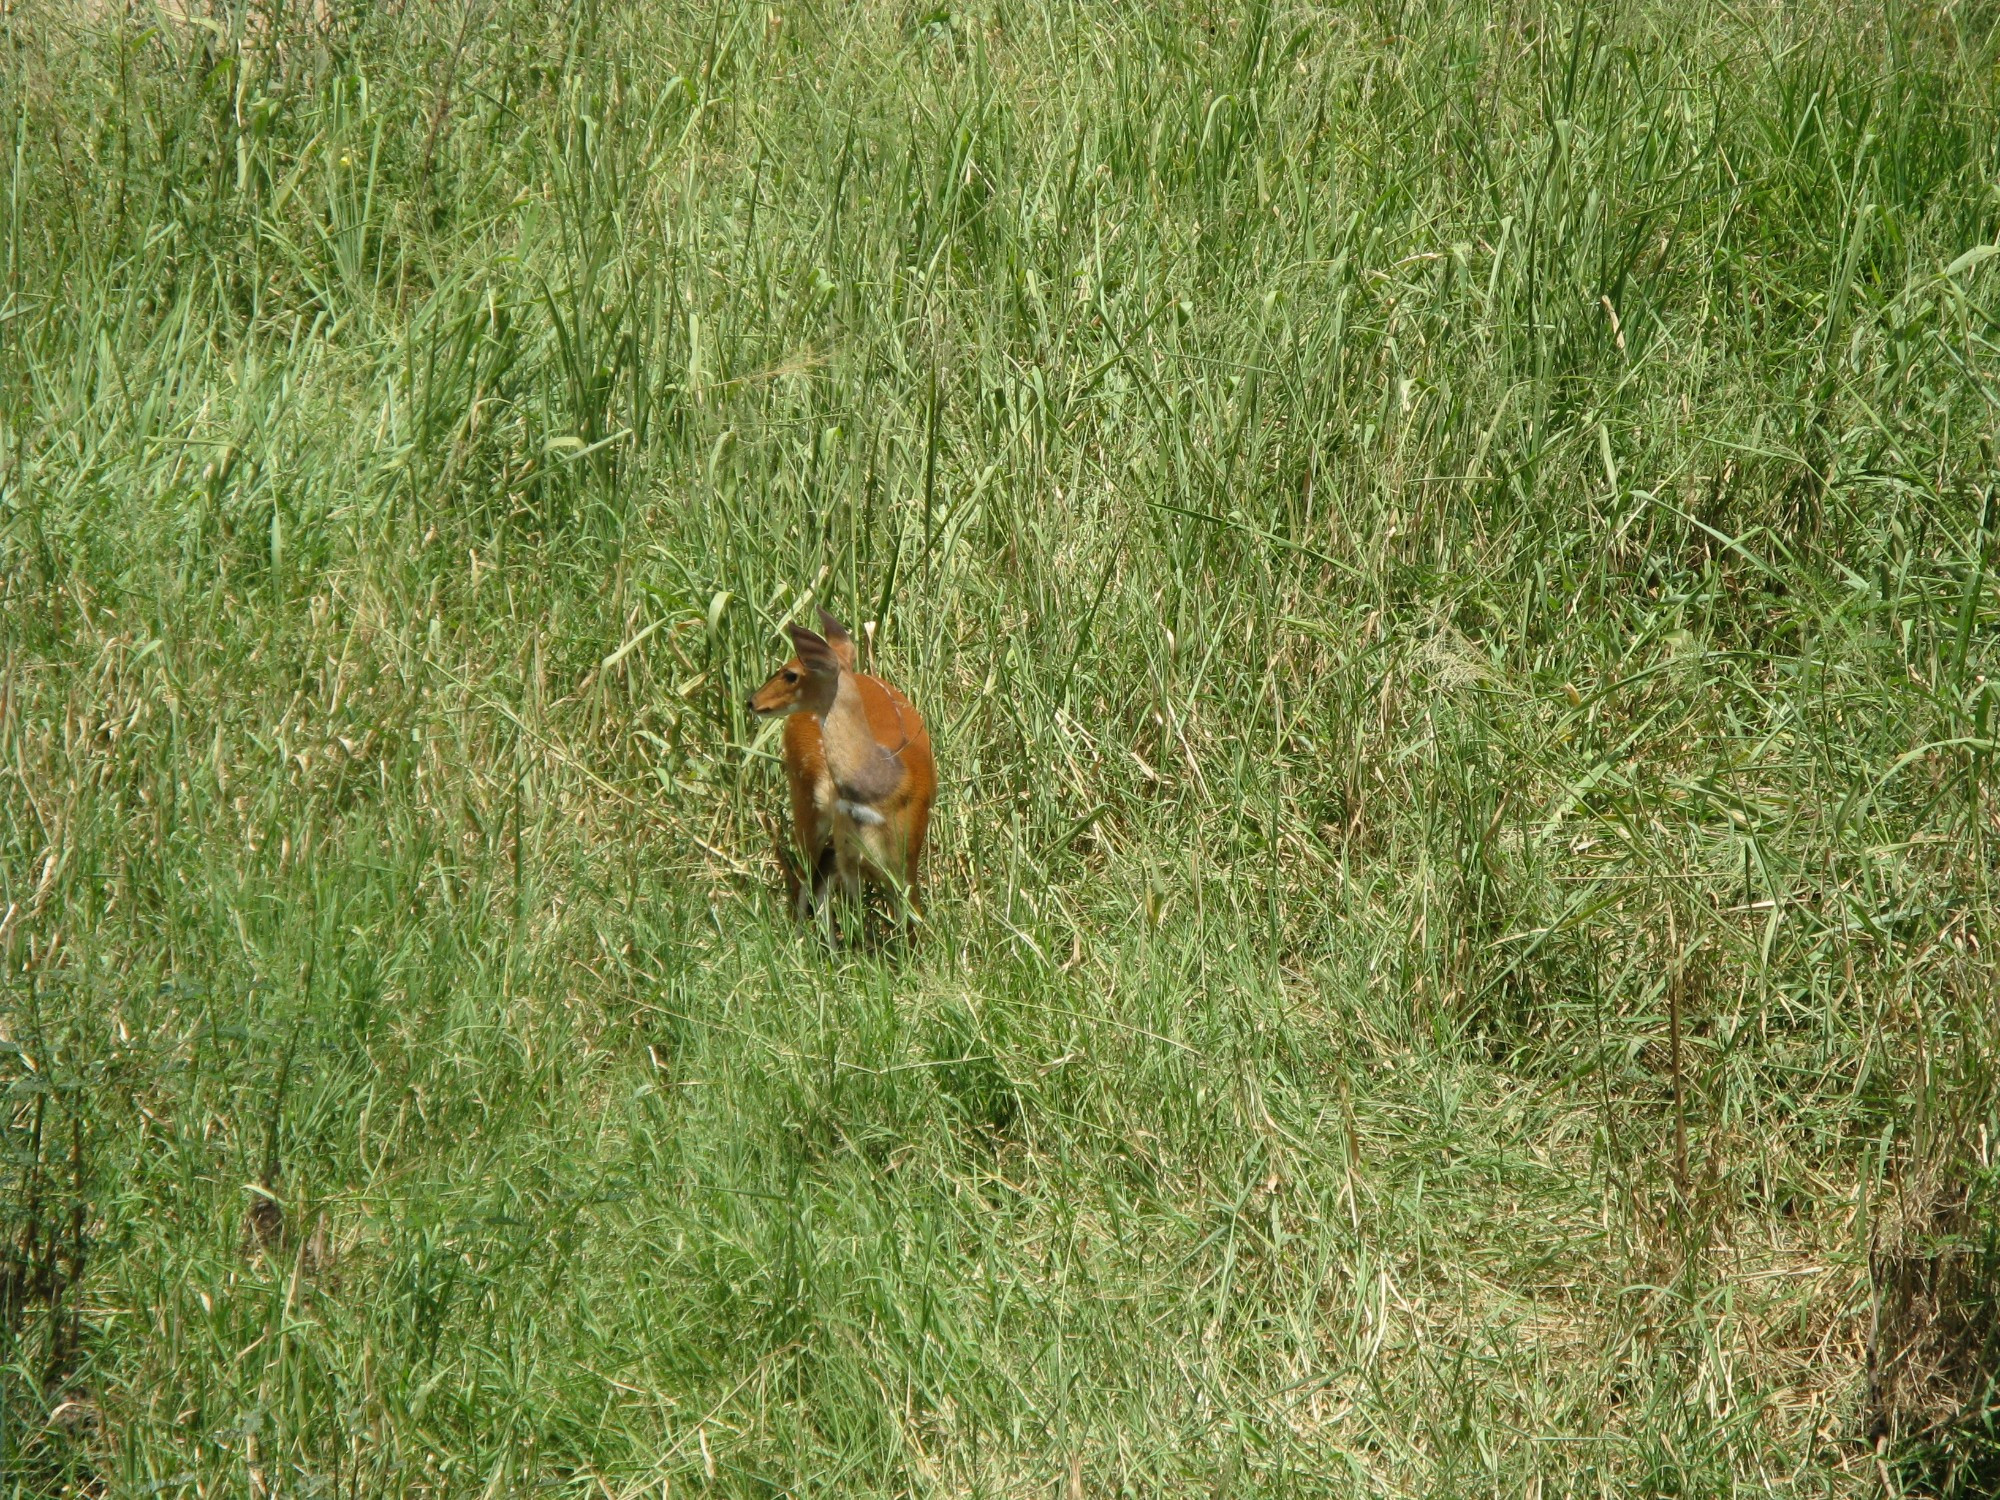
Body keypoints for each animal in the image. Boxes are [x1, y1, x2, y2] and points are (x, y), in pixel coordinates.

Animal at [752, 608, 936, 928]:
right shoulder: (849, 850)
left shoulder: (906, 850)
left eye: (791, 674)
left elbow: (911, 918)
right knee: (807, 873)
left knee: (818, 871)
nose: (752, 701)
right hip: (805, 797)